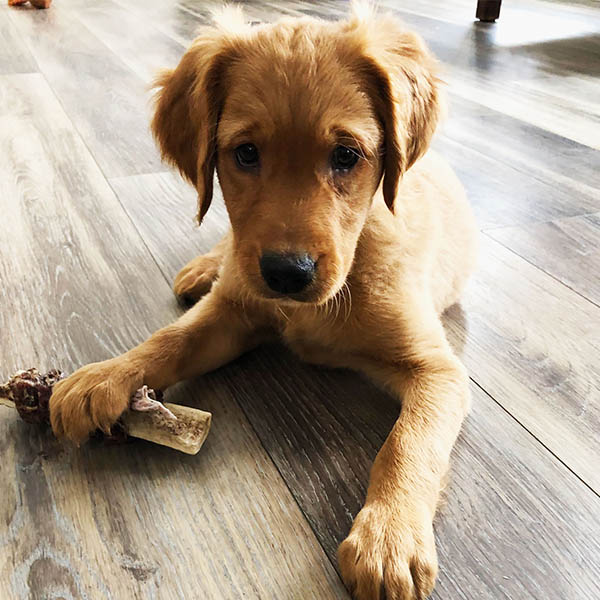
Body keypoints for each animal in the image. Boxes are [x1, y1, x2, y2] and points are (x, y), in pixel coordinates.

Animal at [50, 4, 478, 600]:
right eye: (246, 154)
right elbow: (170, 338)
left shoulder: (438, 370)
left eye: (347, 156)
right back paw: (205, 266)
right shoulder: (232, 313)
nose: (287, 274)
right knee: (226, 254)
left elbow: (408, 443)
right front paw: (104, 376)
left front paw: (388, 539)